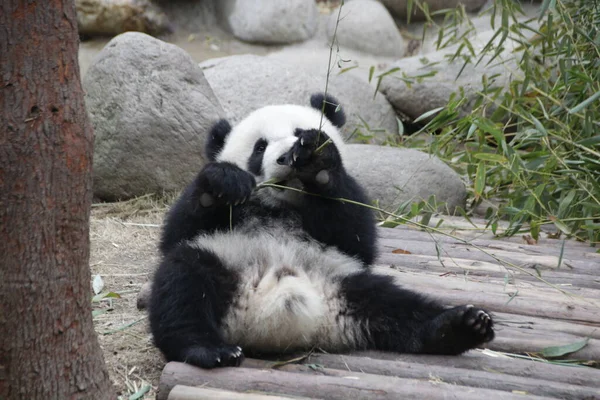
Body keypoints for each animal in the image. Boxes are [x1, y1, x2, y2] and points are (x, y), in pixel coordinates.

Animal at [148, 94, 494, 368]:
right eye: (259, 147)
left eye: (298, 133)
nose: (285, 157)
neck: (279, 207)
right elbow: (177, 233)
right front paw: (224, 181)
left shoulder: (348, 222)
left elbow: (357, 236)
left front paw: (319, 163)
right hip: (226, 261)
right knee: (183, 286)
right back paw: (209, 350)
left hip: (343, 280)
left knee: (395, 304)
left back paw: (460, 326)